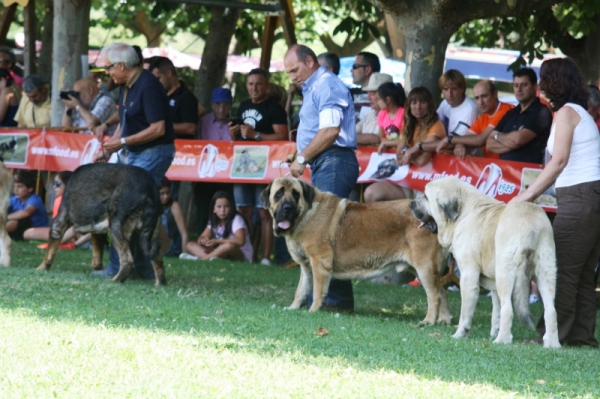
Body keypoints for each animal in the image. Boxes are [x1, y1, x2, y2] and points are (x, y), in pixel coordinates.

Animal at [37, 163, 165, 288]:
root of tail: (149, 187)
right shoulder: (97, 233)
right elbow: (97, 257)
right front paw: (97, 270)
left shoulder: (58, 224)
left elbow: (49, 254)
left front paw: (41, 268)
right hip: (151, 234)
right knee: (157, 261)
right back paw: (159, 284)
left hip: (116, 228)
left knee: (127, 262)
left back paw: (114, 281)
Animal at [260, 177, 452, 326]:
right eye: (278, 194)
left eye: (295, 194)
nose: (287, 207)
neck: (305, 214)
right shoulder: (306, 267)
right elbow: (301, 290)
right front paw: (293, 308)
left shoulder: (319, 263)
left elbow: (317, 292)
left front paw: (313, 310)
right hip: (424, 270)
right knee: (442, 292)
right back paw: (444, 320)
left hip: (424, 267)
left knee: (434, 296)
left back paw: (428, 321)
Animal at [410, 177, 560, 348]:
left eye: (426, 196)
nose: (411, 204)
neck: (463, 214)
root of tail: (529, 223)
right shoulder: (493, 282)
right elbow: (496, 310)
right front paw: (494, 330)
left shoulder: (468, 276)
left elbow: (466, 312)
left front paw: (460, 333)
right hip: (546, 272)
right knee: (550, 309)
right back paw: (551, 343)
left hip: (505, 273)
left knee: (508, 308)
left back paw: (502, 340)